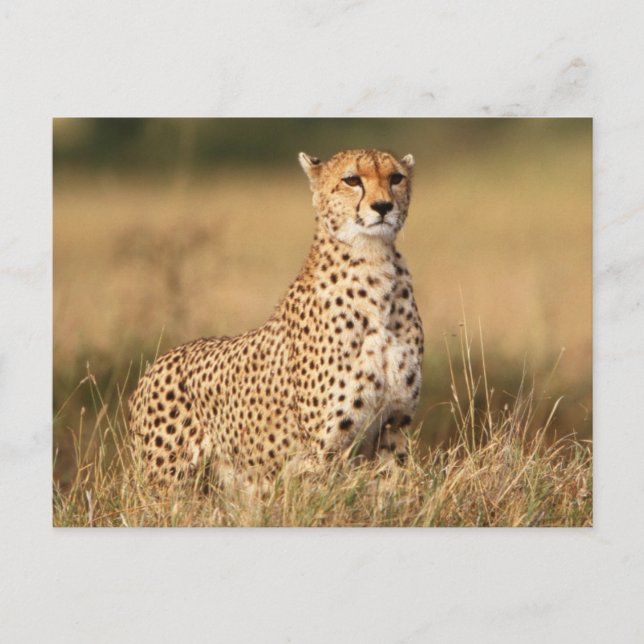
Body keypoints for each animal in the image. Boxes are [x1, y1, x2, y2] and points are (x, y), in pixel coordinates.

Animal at [128, 148, 424, 489]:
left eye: (396, 178)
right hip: (166, 481)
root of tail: (156, 363)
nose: (383, 206)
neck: (374, 263)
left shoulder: (393, 427)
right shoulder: (323, 449)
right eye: (352, 180)